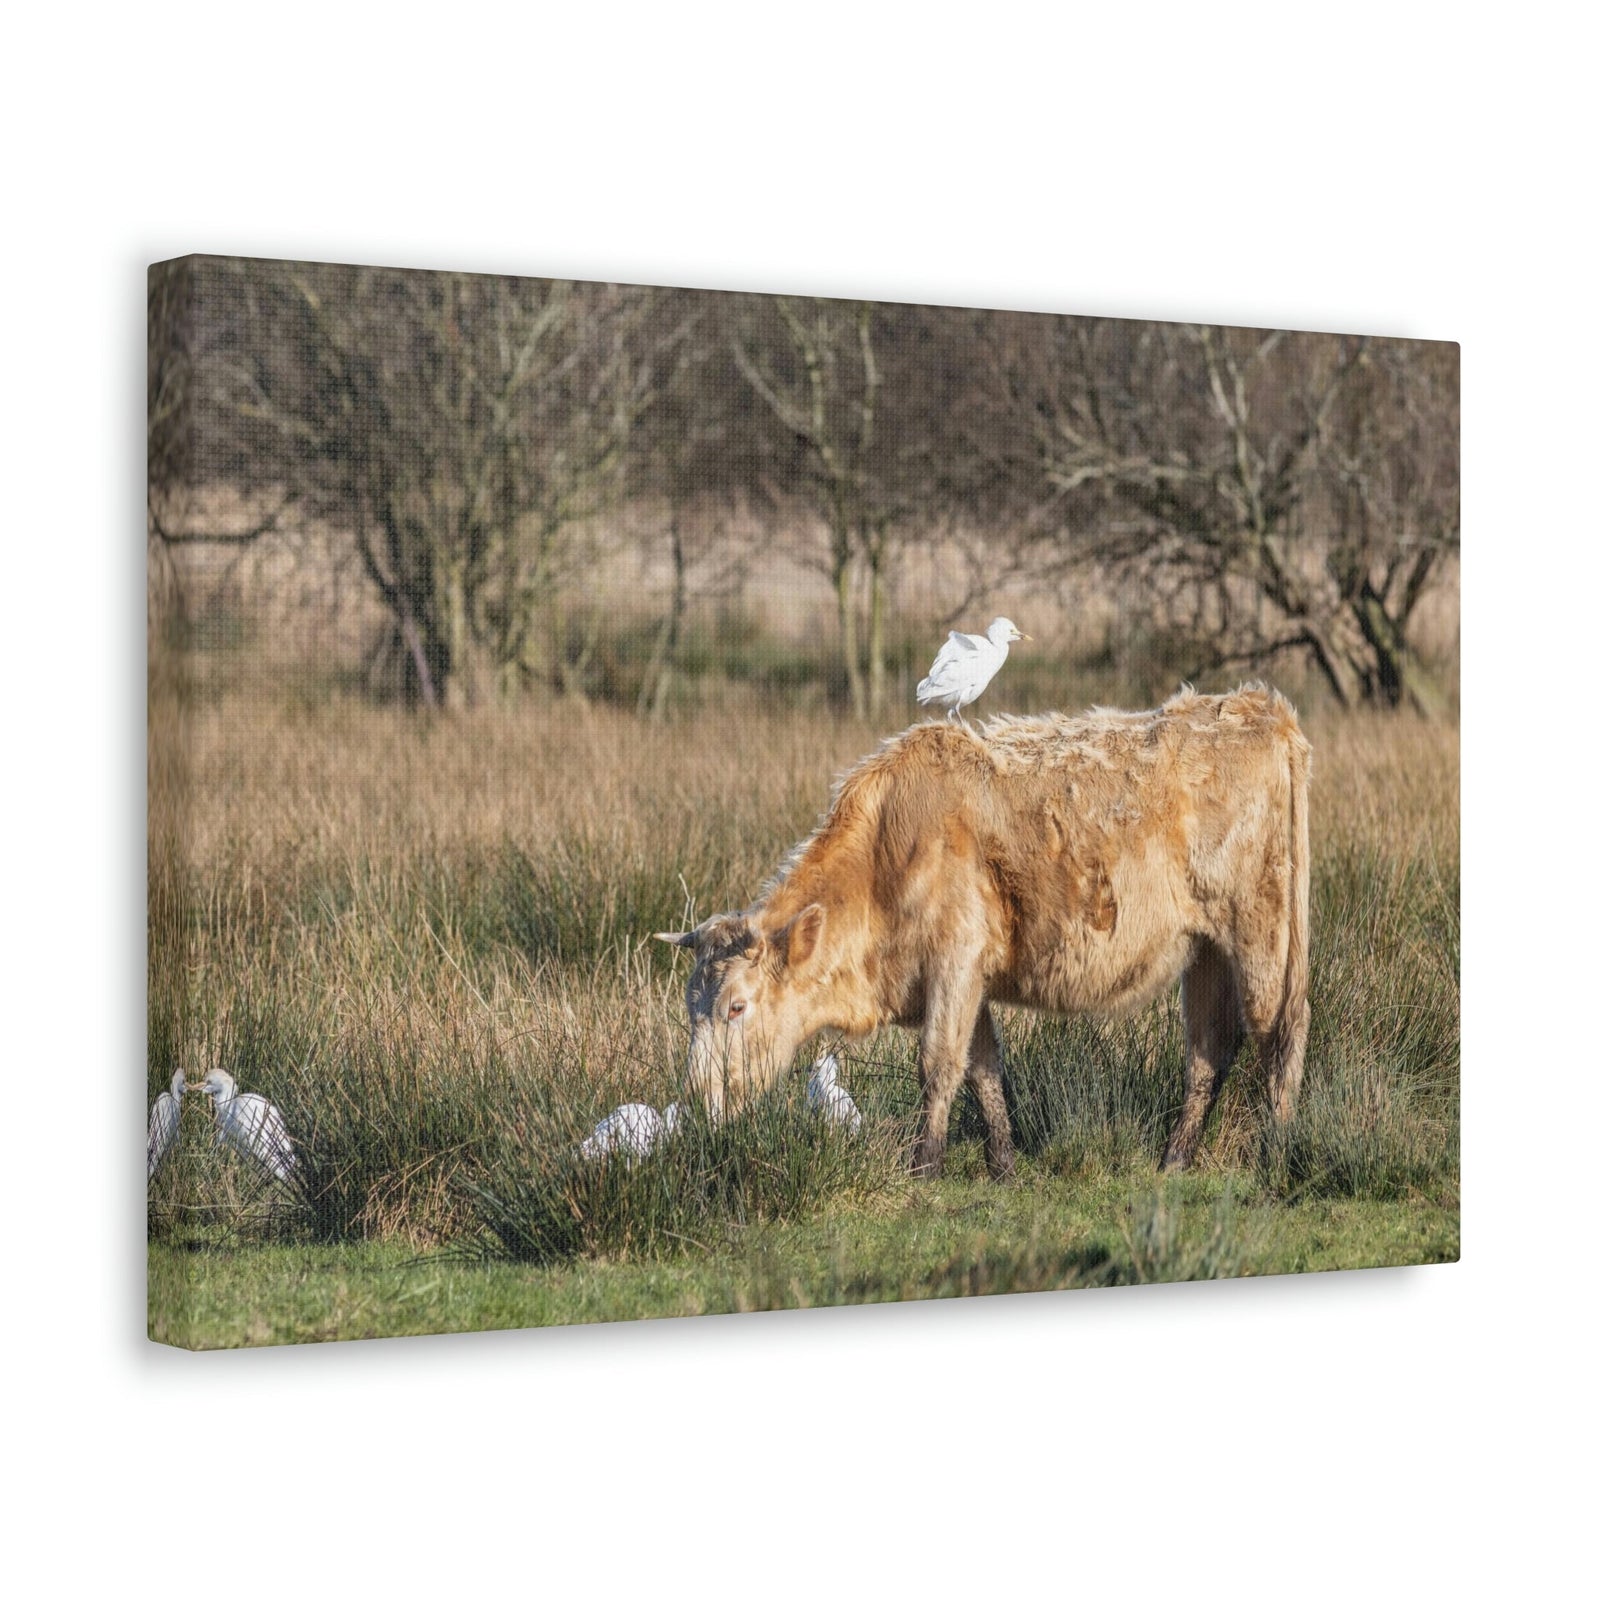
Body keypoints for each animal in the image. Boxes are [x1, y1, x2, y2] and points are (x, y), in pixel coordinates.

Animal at [657, 685, 1311, 1177]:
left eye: (737, 1007)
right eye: (691, 1007)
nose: (697, 1103)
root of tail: (1262, 707)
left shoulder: (955, 963)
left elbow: (939, 1064)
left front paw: (924, 1166)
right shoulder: (967, 982)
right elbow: (984, 1070)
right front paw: (1003, 1166)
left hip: (1262, 931)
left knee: (1279, 1029)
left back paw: (1275, 1146)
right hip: (1206, 950)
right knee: (1208, 1049)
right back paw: (1175, 1158)